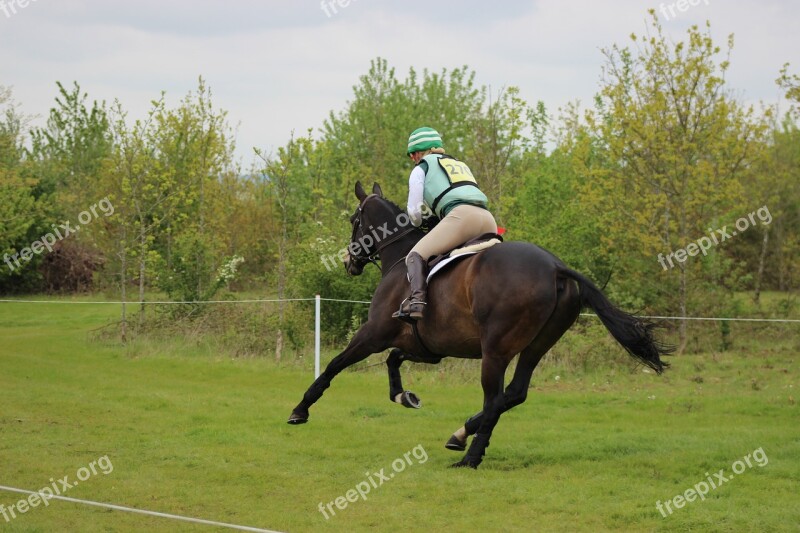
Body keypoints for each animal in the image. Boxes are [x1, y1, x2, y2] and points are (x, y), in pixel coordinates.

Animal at [288, 181, 668, 468]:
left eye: (355, 219)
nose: (349, 262)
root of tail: (556, 267)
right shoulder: (428, 347)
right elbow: (394, 360)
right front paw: (404, 395)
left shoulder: (373, 334)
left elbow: (335, 365)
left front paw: (300, 410)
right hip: (537, 345)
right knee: (514, 394)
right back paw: (460, 434)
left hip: (495, 349)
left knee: (495, 397)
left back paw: (470, 457)